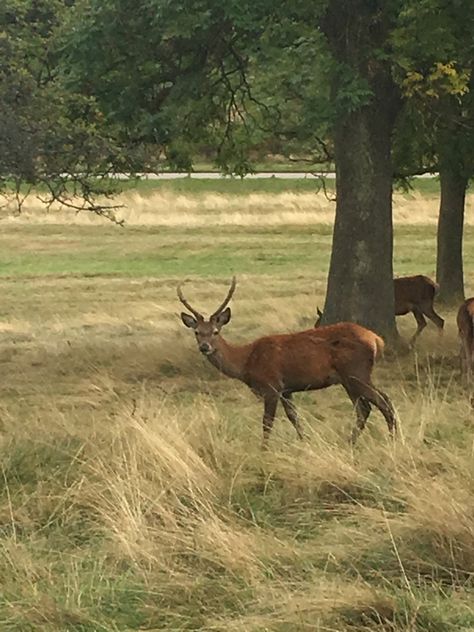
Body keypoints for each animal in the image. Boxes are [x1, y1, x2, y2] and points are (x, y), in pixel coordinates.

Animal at [178, 278, 396, 450]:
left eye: (215, 331)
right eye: (197, 332)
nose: (205, 347)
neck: (247, 362)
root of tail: (376, 340)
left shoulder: (271, 385)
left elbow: (267, 422)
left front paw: (264, 450)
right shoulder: (287, 389)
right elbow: (294, 417)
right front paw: (305, 442)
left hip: (356, 372)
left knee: (383, 402)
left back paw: (391, 440)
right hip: (349, 378)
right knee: (364, 408)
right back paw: (350, 443)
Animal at [314, 276, 444, 346]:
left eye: (317, 325)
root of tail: (435, 285)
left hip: (424, 303)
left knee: (439, 320)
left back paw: (438, 342)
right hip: (416, 308)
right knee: (423, 323)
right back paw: (411, 343)